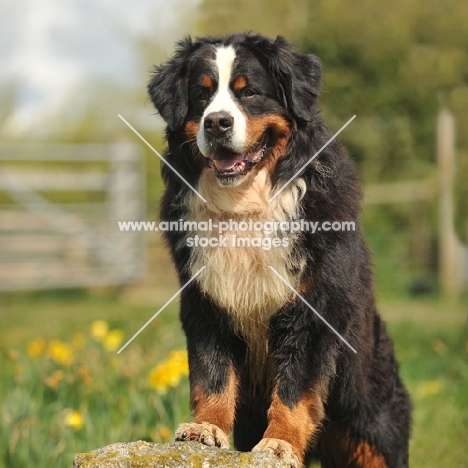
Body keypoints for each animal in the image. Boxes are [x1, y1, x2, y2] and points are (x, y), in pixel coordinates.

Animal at [147, 33, 410, 468]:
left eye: (249, 92)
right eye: (201, 95)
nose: (216, 122)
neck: (245, 205)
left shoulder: (312, 308)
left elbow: (295, 388)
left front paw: (279, 443)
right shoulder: (205, 301)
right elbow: (212, 374)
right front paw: (205, 429)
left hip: (370, 424)